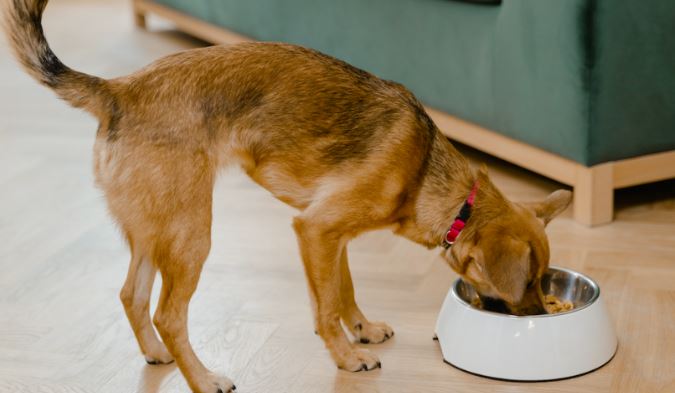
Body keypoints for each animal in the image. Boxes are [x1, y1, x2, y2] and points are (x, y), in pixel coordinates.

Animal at [6, 1, 572, 390]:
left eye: (545, 279)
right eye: (529, 281)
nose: (540, 317)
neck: (435, 181)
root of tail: (118, 90)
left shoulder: (331, 237)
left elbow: (342, 291)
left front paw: (362, 330)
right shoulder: (316, 229)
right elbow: (324, 308)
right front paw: (347, 358)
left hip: (154, 229)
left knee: (132, 295)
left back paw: (156, 354)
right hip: (192, 234)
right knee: (169, 315)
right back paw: (205, 379)